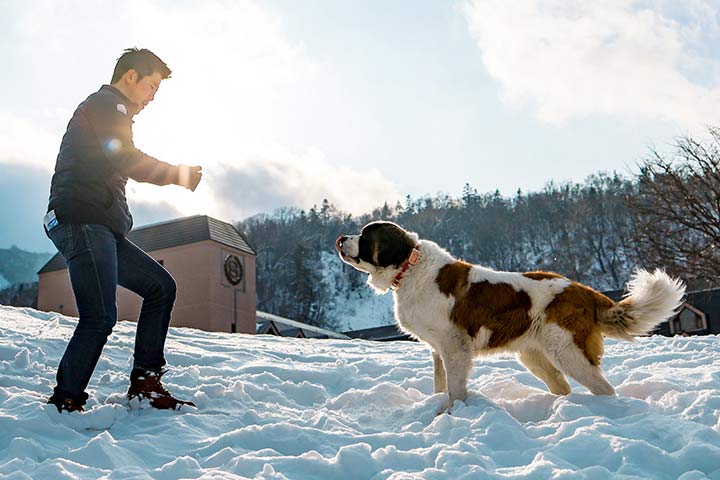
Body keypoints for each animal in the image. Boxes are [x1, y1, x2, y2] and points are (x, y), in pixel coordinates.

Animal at [338, 222, 688, 408]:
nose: (341, 238)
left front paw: (453, 413)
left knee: (603, 387)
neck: (409, 267)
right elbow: (440, 383)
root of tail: (584, 290)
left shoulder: (454, 347)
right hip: (534, 355)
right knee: (562, 385)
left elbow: (454, 387)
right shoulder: (438, 349)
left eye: (365, 236)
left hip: (566, 350)